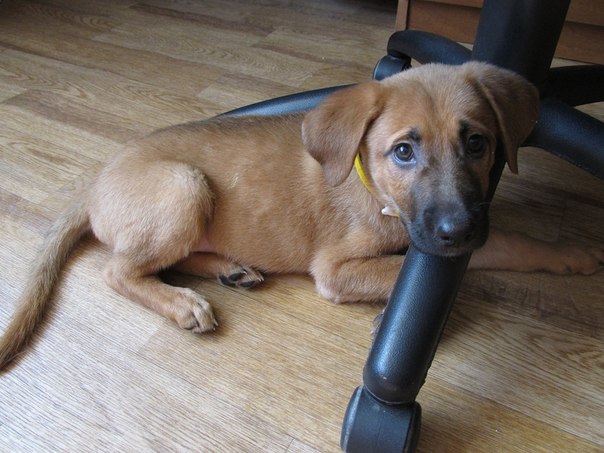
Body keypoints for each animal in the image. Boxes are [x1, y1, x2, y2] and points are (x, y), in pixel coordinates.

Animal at [1, 62, 603, 370]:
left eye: (477, 143)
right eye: (403, 151)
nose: (458, 231)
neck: (374, 186)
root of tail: (94, 184)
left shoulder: (457, 223)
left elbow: (508, 244)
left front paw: (571, 255)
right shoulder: (337, 269)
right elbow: (411, 272)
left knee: (164, 259)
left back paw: (231, 270)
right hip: (184, 187)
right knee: (119, 270)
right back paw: (182, 304)